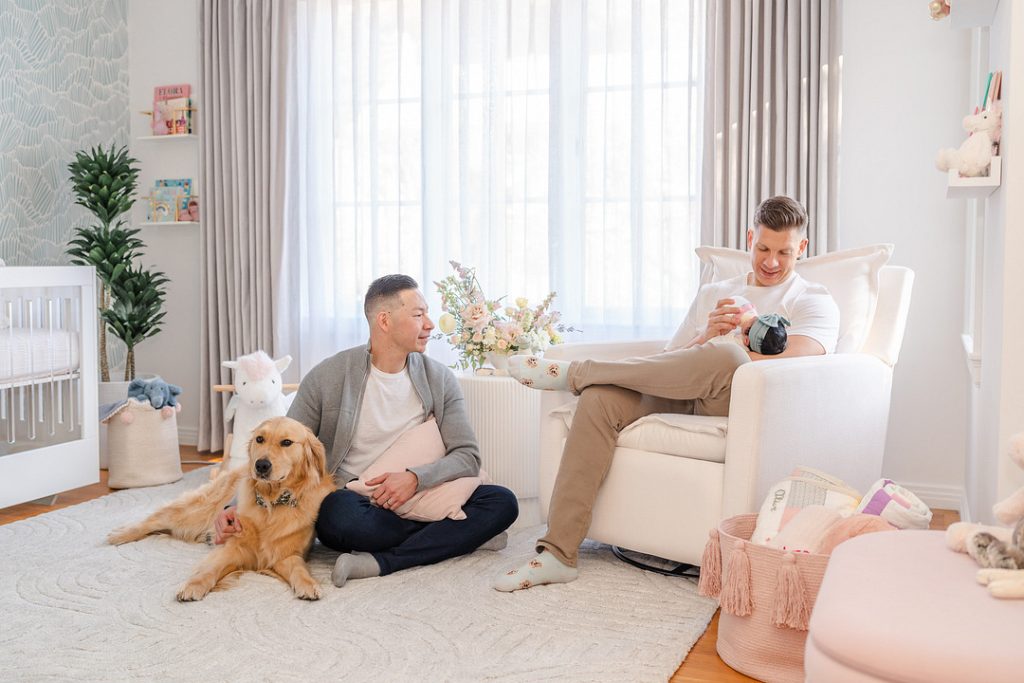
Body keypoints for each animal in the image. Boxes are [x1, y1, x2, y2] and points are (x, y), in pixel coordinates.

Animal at [110, 417, 337, 602]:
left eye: (287, 442)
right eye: (260, 439)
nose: (261, 465)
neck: (271, 503)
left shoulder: (286, 555)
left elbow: (299, 569)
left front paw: (308, 584)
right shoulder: (232, 547)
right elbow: (209, 569)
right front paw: (193, 586)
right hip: (196, 513)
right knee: (155, 518)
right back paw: (119, 534)